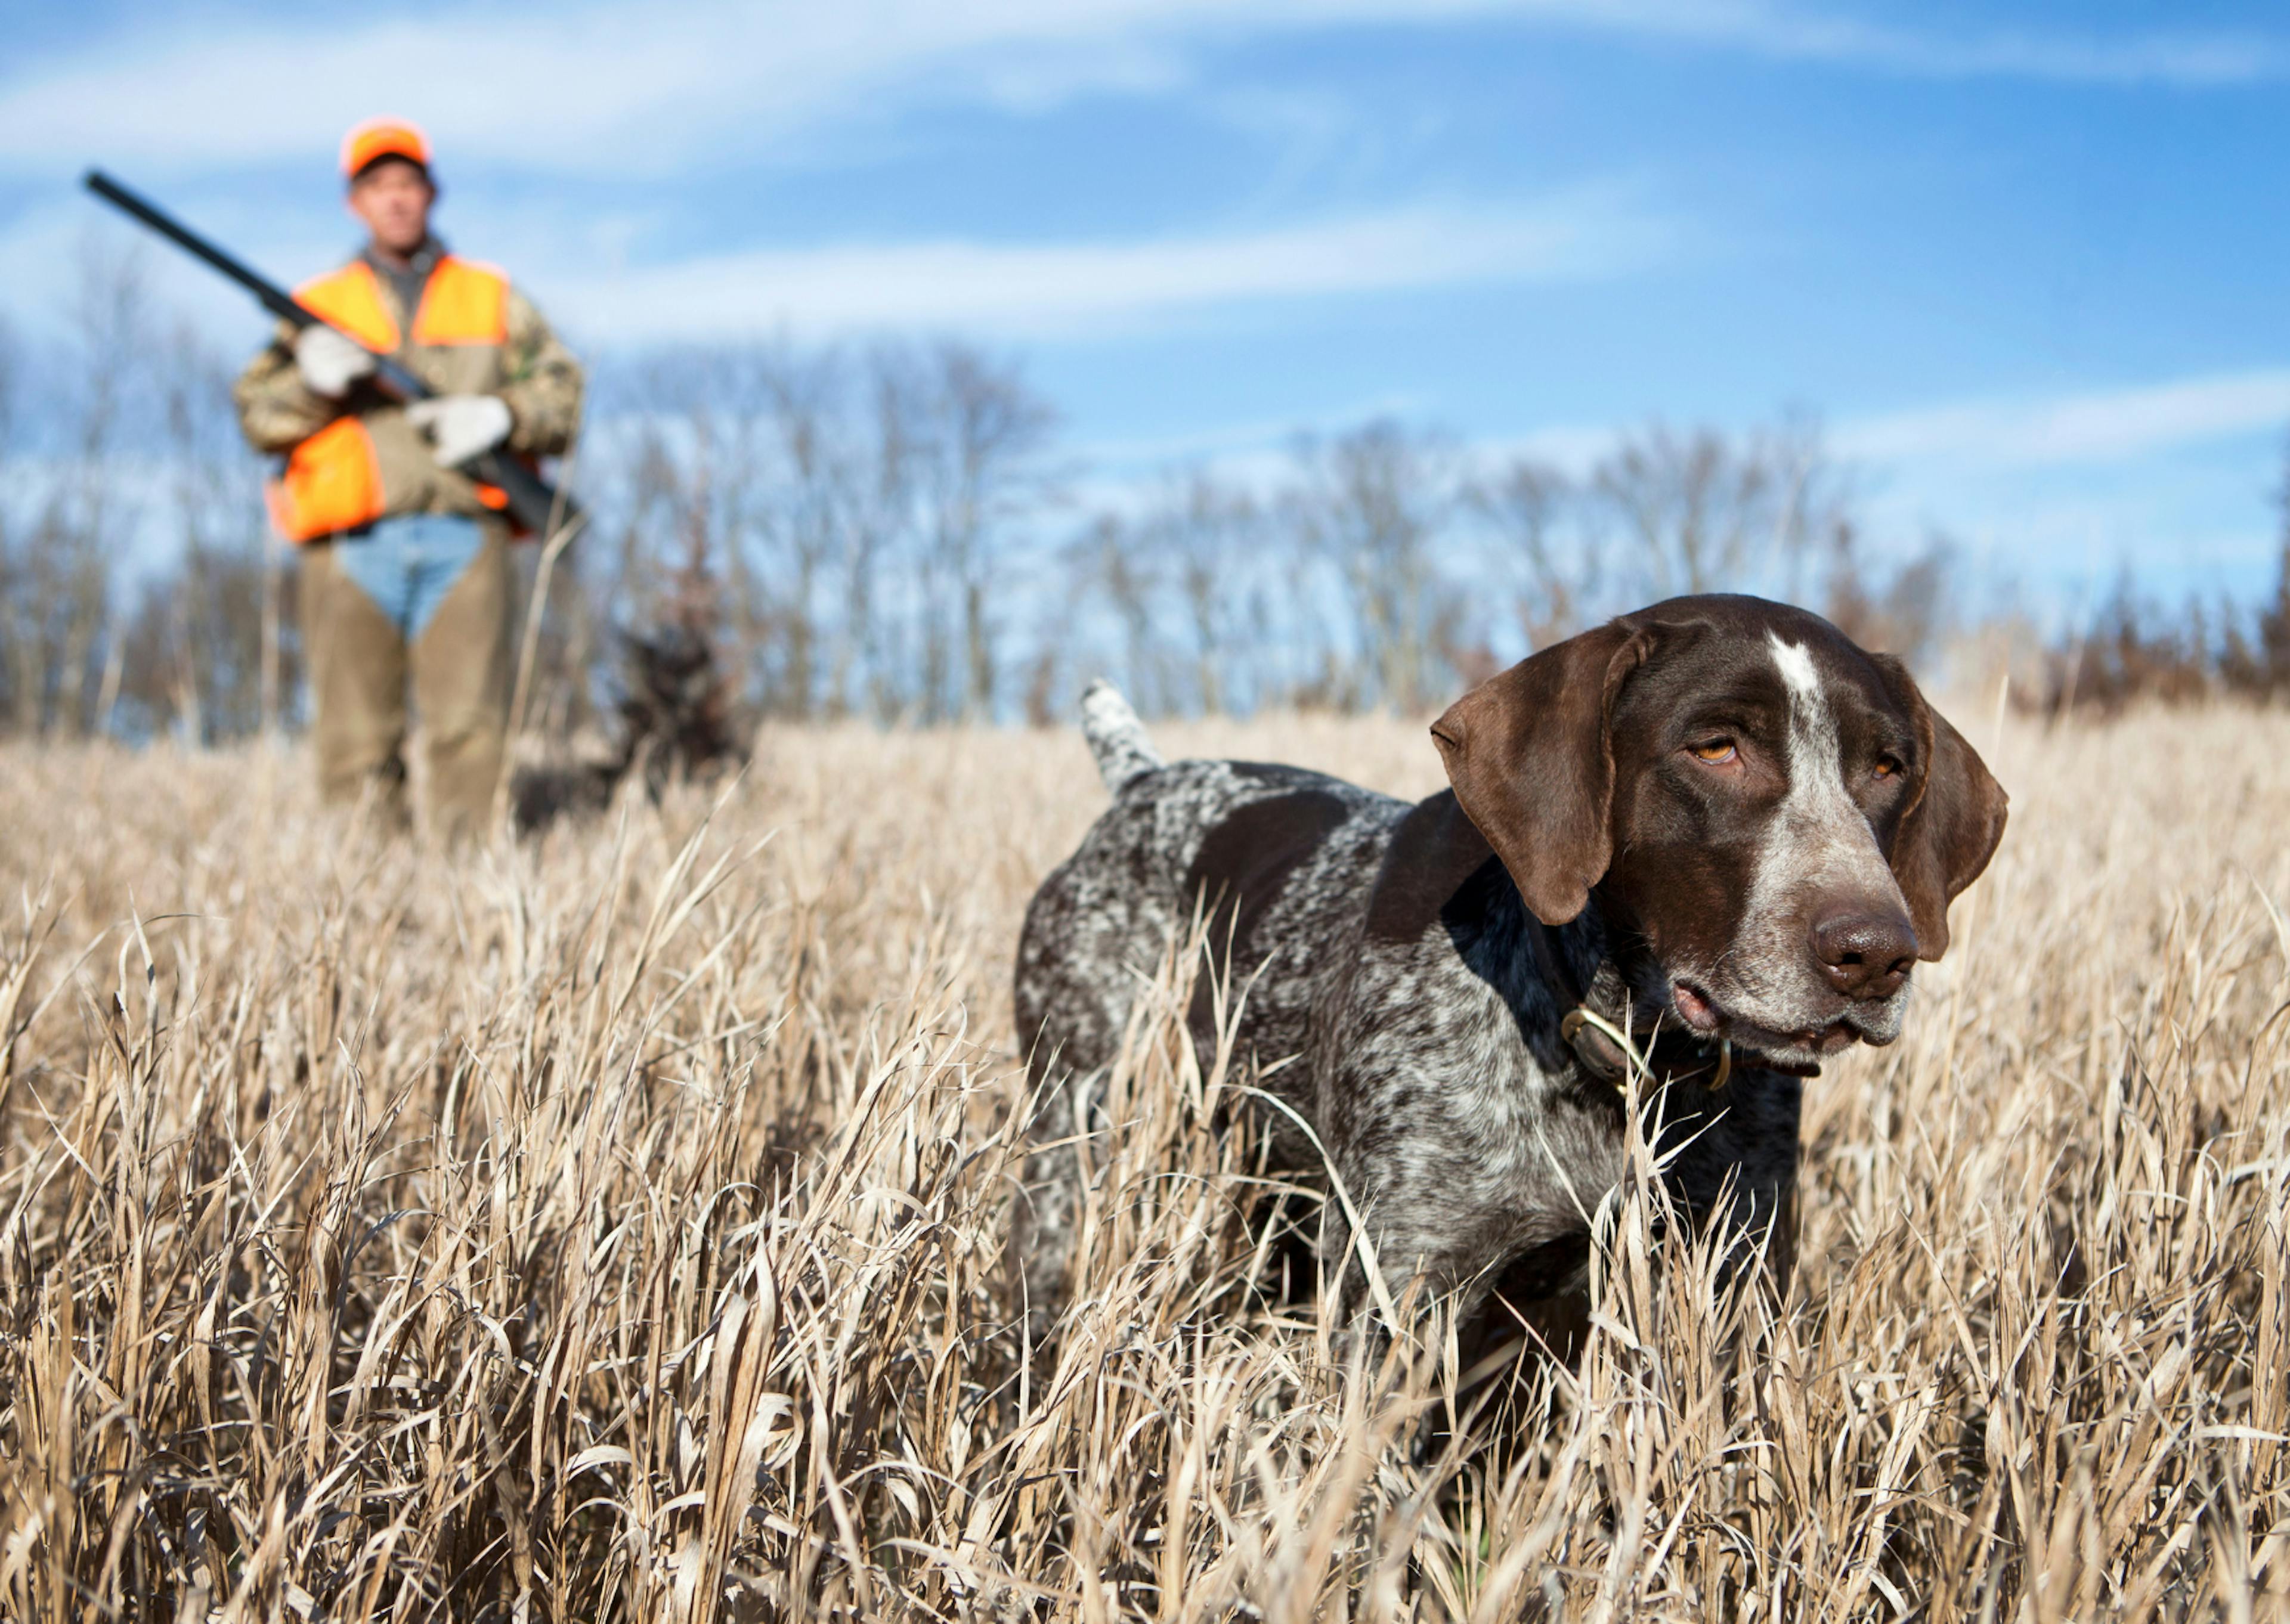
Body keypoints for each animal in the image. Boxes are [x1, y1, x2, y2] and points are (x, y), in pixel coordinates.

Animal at [1016, 595, 2006, 1347]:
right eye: (1715, 748)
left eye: (1888, 767)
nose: (1876, 954)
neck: (1615, 1055)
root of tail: (1143, 784)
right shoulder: (1397, 1293)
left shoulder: (1733, 1276)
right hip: (1072, 1123)